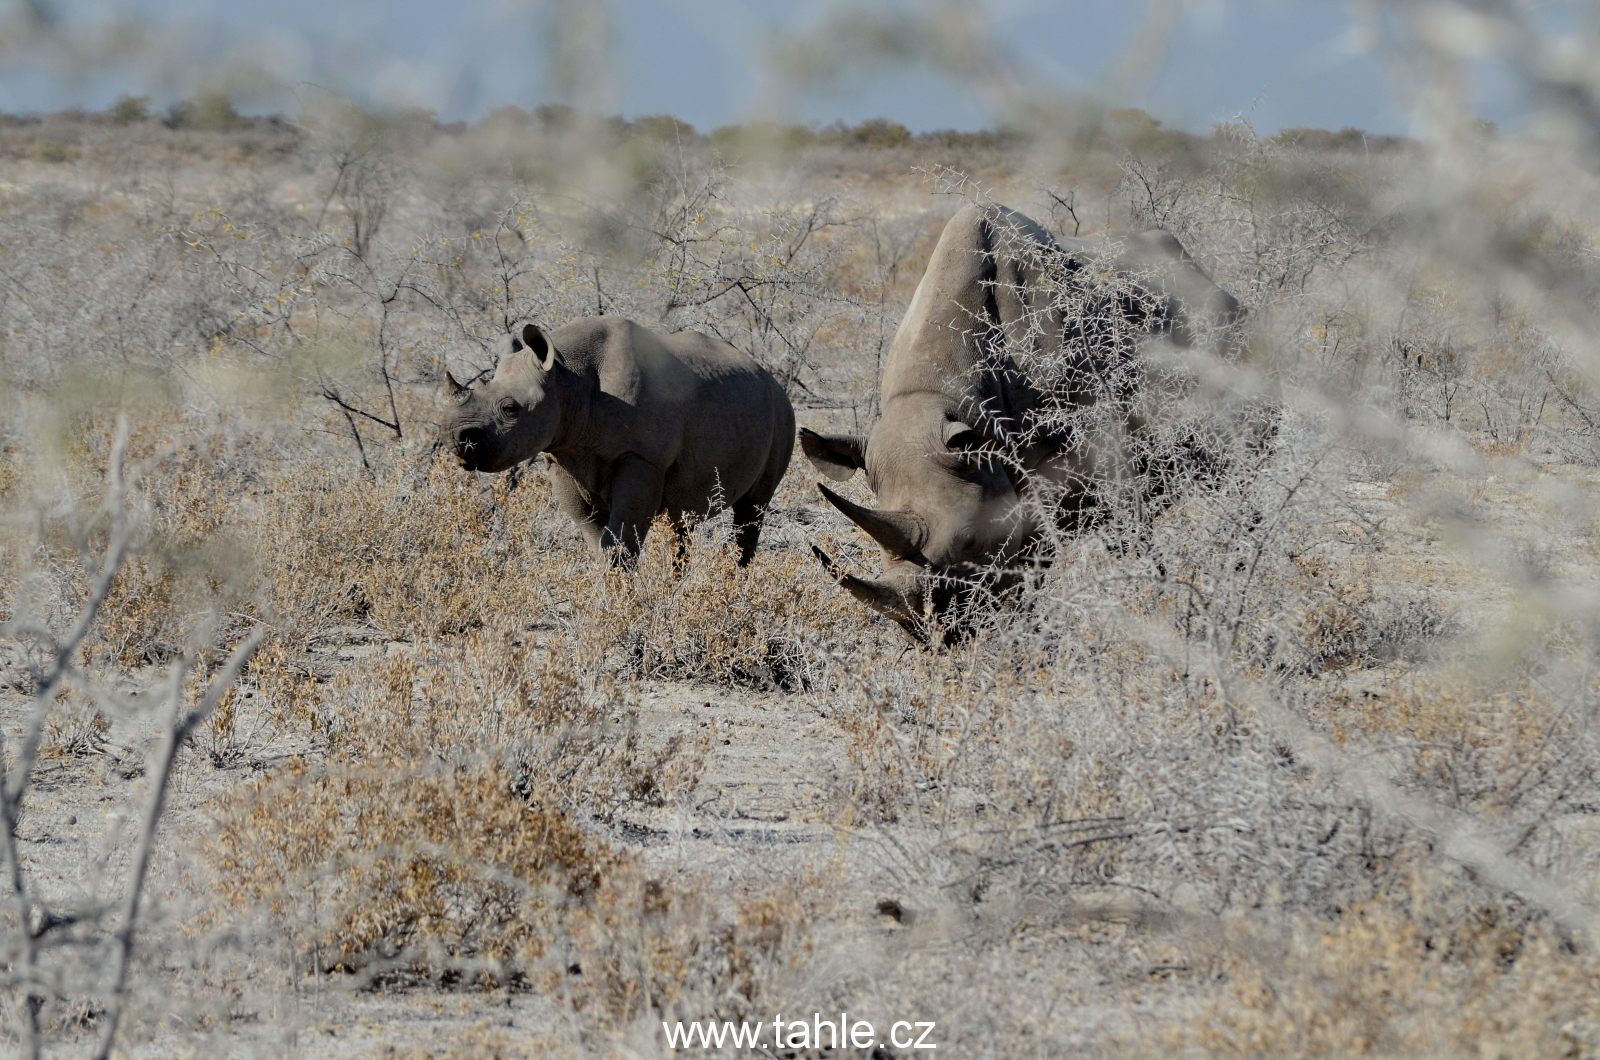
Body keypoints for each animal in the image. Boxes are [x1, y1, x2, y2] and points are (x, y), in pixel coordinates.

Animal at [441, 315, 796, 563]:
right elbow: (595, 536)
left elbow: (621, 538)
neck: (567, 378)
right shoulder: (563, 454)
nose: (458, 440)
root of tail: (768, 376)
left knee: (751, 510)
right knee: (681, 520)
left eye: (510, 408)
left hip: (782, 413)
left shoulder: (640, 457)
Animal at [806, 203, 1241, 643]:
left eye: (971, 541)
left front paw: (1155, 608)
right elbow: (1029, 564)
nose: (931, 635)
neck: (949, 395)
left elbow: (1124, 525)